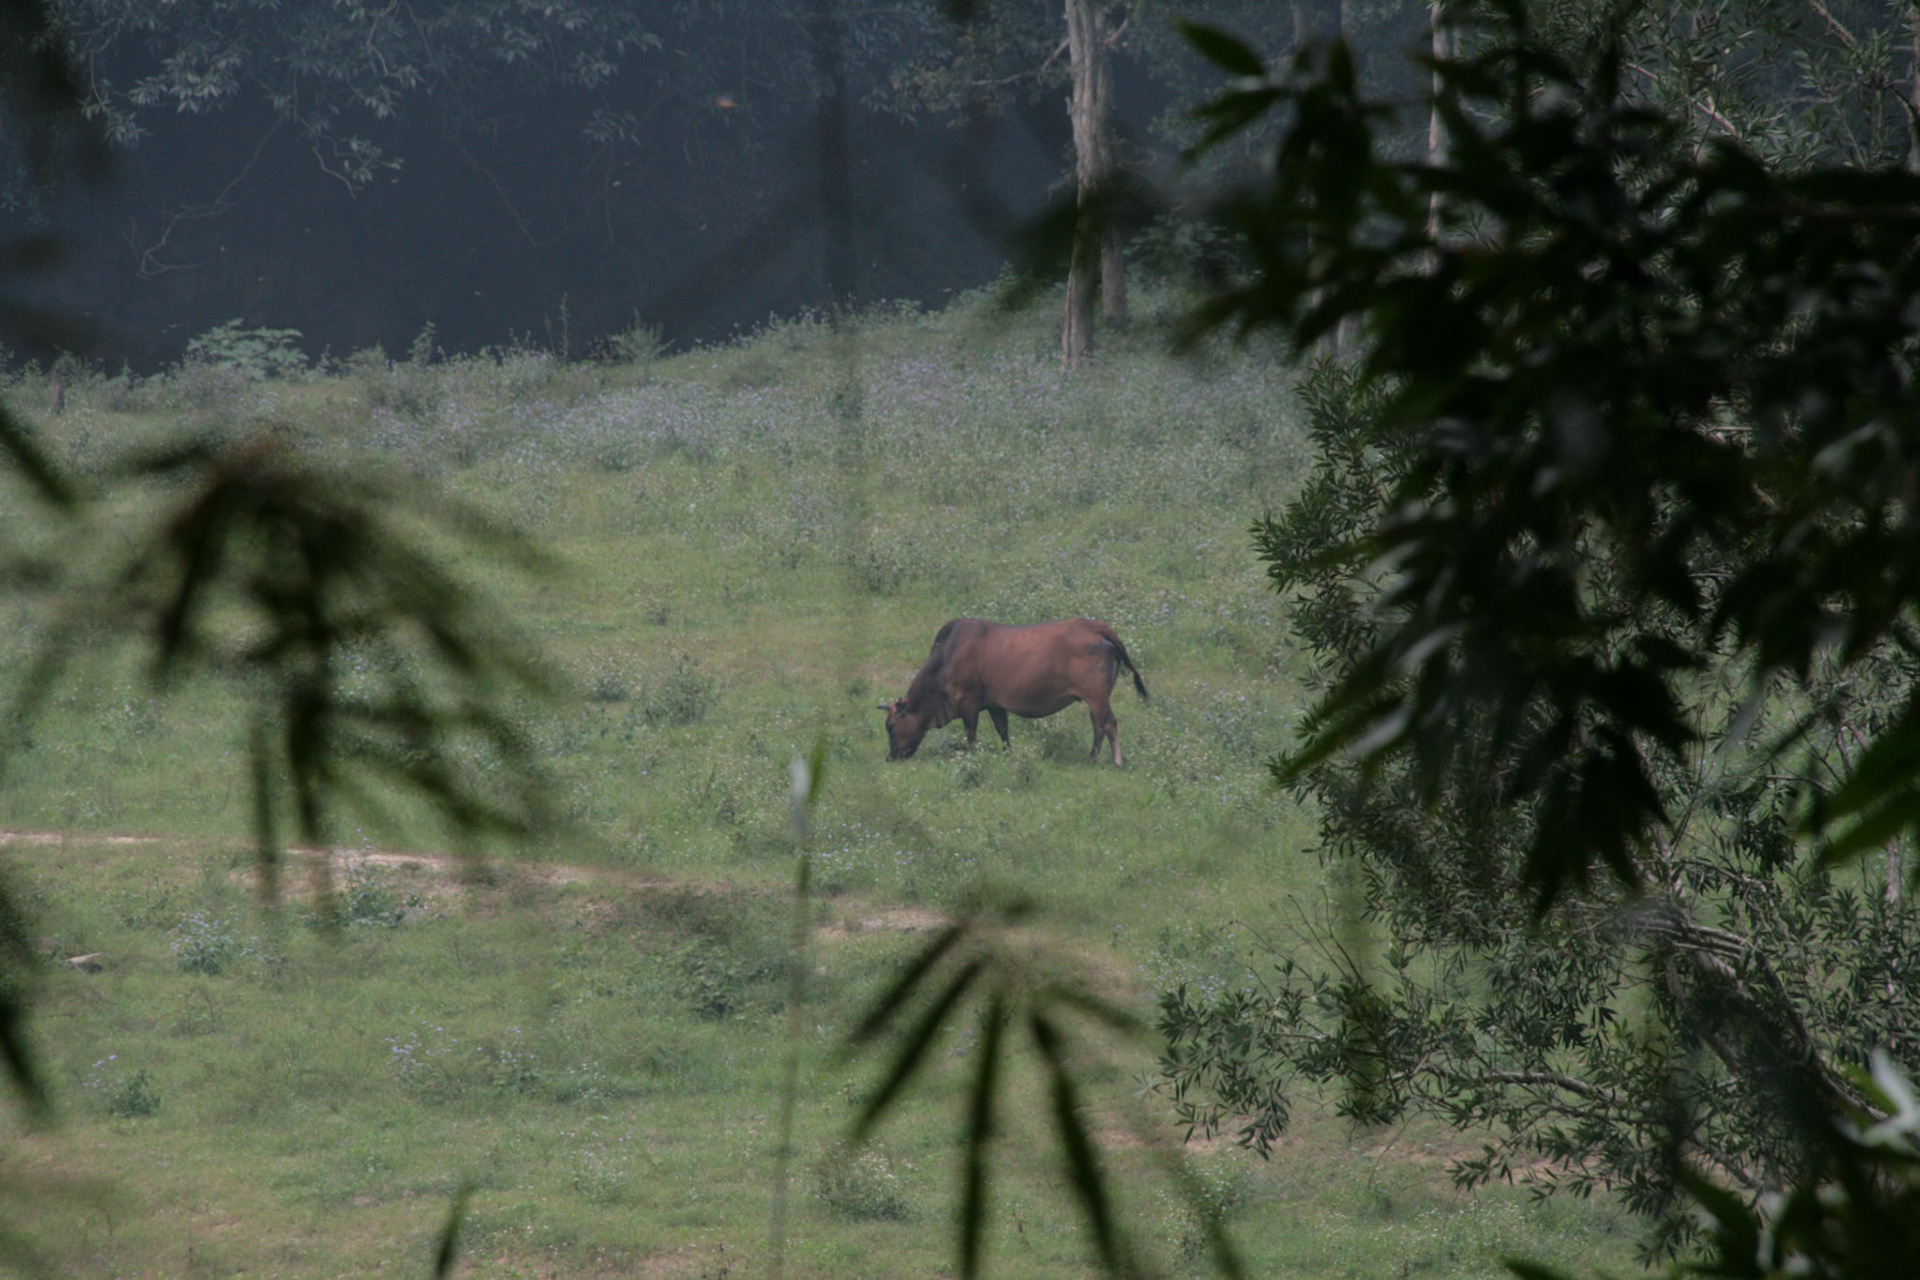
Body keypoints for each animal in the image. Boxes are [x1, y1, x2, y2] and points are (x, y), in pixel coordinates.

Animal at [880, 617, 1148, 766]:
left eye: (890, 726)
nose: (890, 757)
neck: (946, 657)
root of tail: (1095, 627)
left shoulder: (969, 702)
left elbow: (970, 734)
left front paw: (971, 756)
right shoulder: (995, 704)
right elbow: (1003, 731)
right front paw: (1008, 754)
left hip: (1096, 696)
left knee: (1109, 723)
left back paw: (1115, 761)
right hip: (1096, 698)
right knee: (1099, 725)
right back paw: (1092, 757)